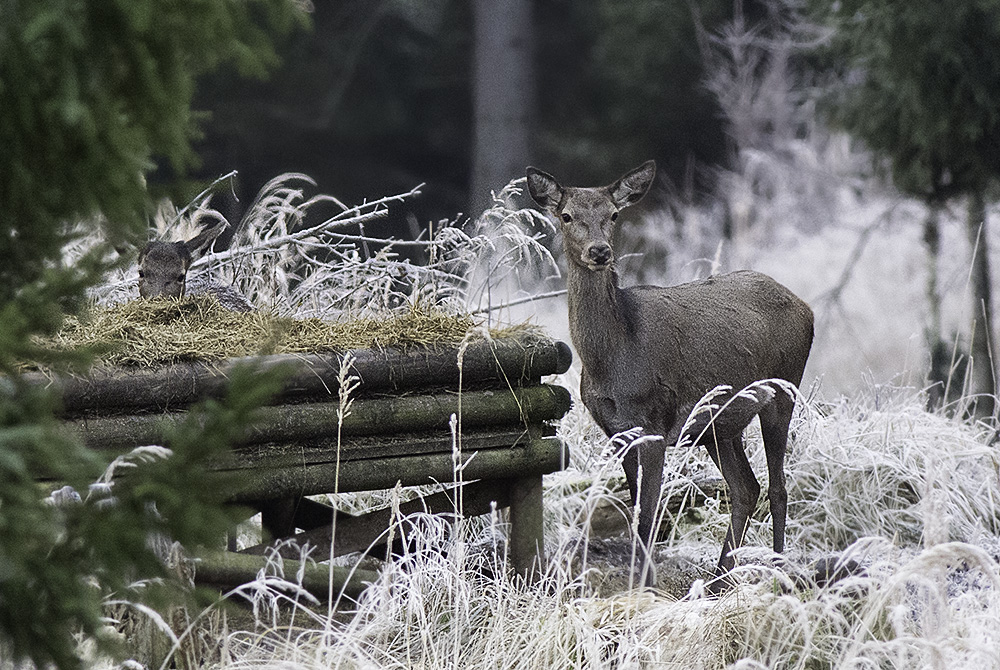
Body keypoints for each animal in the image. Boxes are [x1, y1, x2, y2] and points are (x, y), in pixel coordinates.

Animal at [524, 160, 812, 592]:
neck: (613, 358)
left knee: (778, 487)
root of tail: (807, 308)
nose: (599, 251)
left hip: (783, 389)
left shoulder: (654, 423)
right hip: (718, 425)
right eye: (567, 215)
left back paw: (775, 573)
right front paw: (640, 582)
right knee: (746, 487)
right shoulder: (616, 430)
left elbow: (648, 517)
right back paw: (718, 579)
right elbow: (633, 512)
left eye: (613, 215)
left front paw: (647, 586)